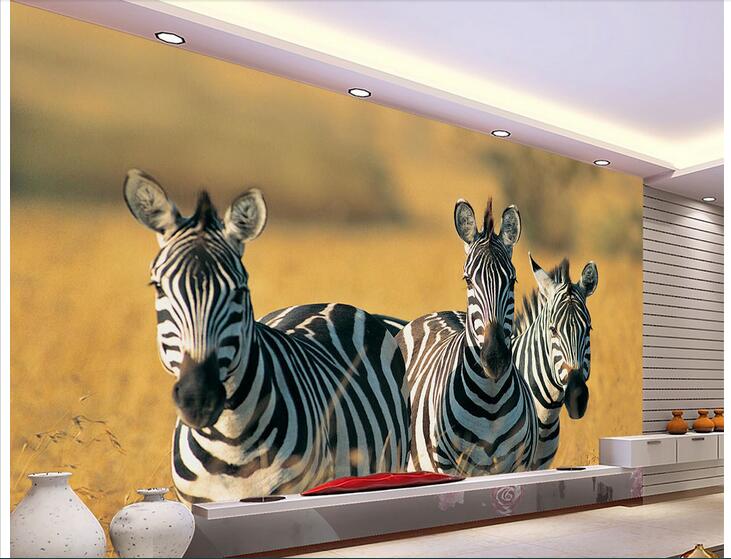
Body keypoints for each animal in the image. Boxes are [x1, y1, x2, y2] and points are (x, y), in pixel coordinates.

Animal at [396, 198, 537, 476]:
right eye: (468, 280)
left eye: (513, 281)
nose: (494, 358)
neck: (491, 401)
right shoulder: (446, 466)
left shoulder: (520, 464)